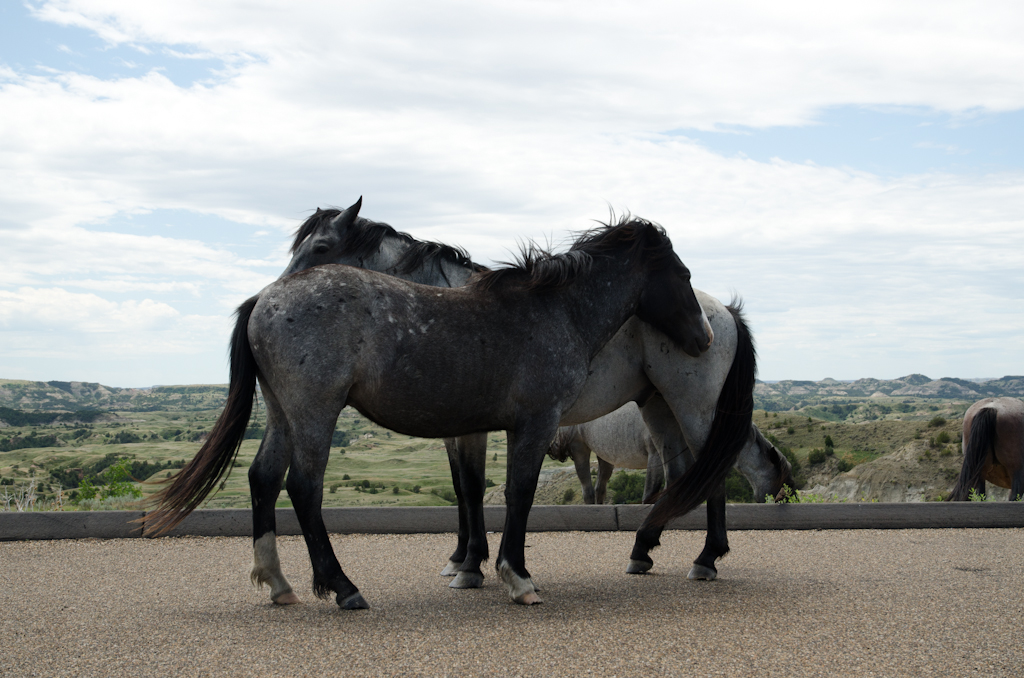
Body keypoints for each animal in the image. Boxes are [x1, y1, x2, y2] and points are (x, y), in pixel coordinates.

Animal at [146, 200, 720, 606]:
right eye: (685, 275)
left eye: (321, 244)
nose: (704, 338)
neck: (553, 308)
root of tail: (265, 300)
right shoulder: (532, 424)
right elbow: (514, 494)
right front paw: (514, 576)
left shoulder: (483, 429)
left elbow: (479, 493)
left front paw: (476, 566)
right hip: (313, 412)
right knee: (302, 487)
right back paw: (342, 587)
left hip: (284, 414)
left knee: (264, 479)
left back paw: (279, 583)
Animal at [552, 403, 790, 503]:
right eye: (780, 479)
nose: (784, 500)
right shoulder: (657, 457)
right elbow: (650, 495)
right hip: (580, 449)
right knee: (588, 491)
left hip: (605, 455)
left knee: (600, 490)